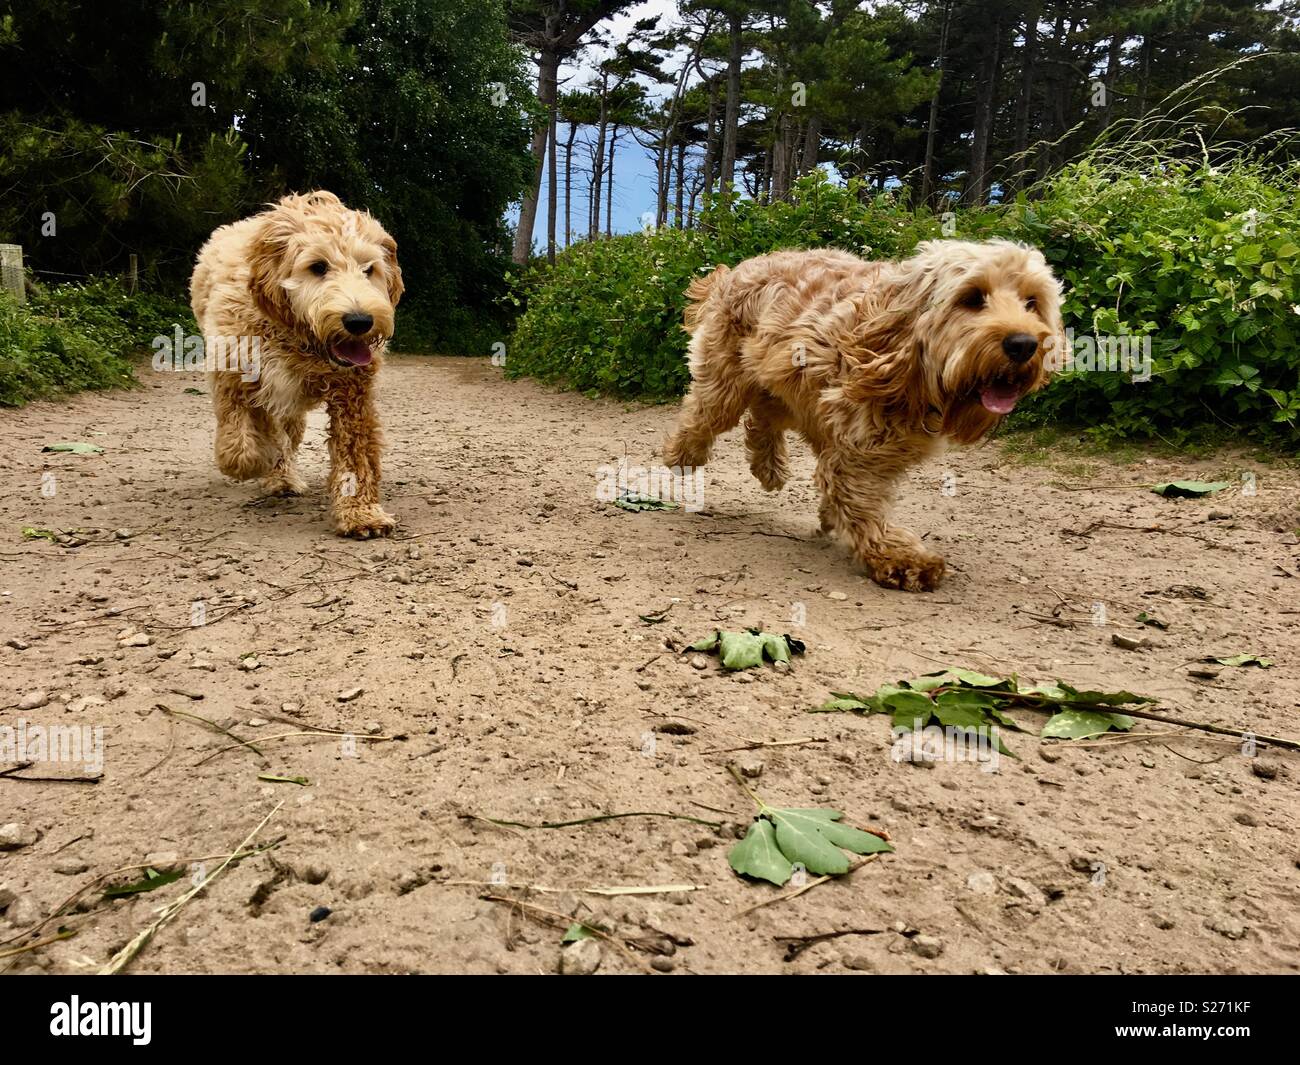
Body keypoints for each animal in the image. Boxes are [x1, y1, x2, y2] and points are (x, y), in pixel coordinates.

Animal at [189, 188, 403, 538]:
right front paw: (256, 457)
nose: (359, 321)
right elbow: (239, 442)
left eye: (369, 269)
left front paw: (361, 513)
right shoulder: (233, 374)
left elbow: (355, 454)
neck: (297, 337)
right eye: (317, 266)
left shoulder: (352, 392)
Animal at [665, 239, 1060, 590]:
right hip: (729, 380)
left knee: (765, 415)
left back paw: (769, 467)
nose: (1024, 344)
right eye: (973, 298)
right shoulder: (857, 450)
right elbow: (859, 500)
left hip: (787, 384)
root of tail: (738, 269)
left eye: (1032, 302)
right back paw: (683, 455)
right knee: (706, 413)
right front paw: (898, 556)